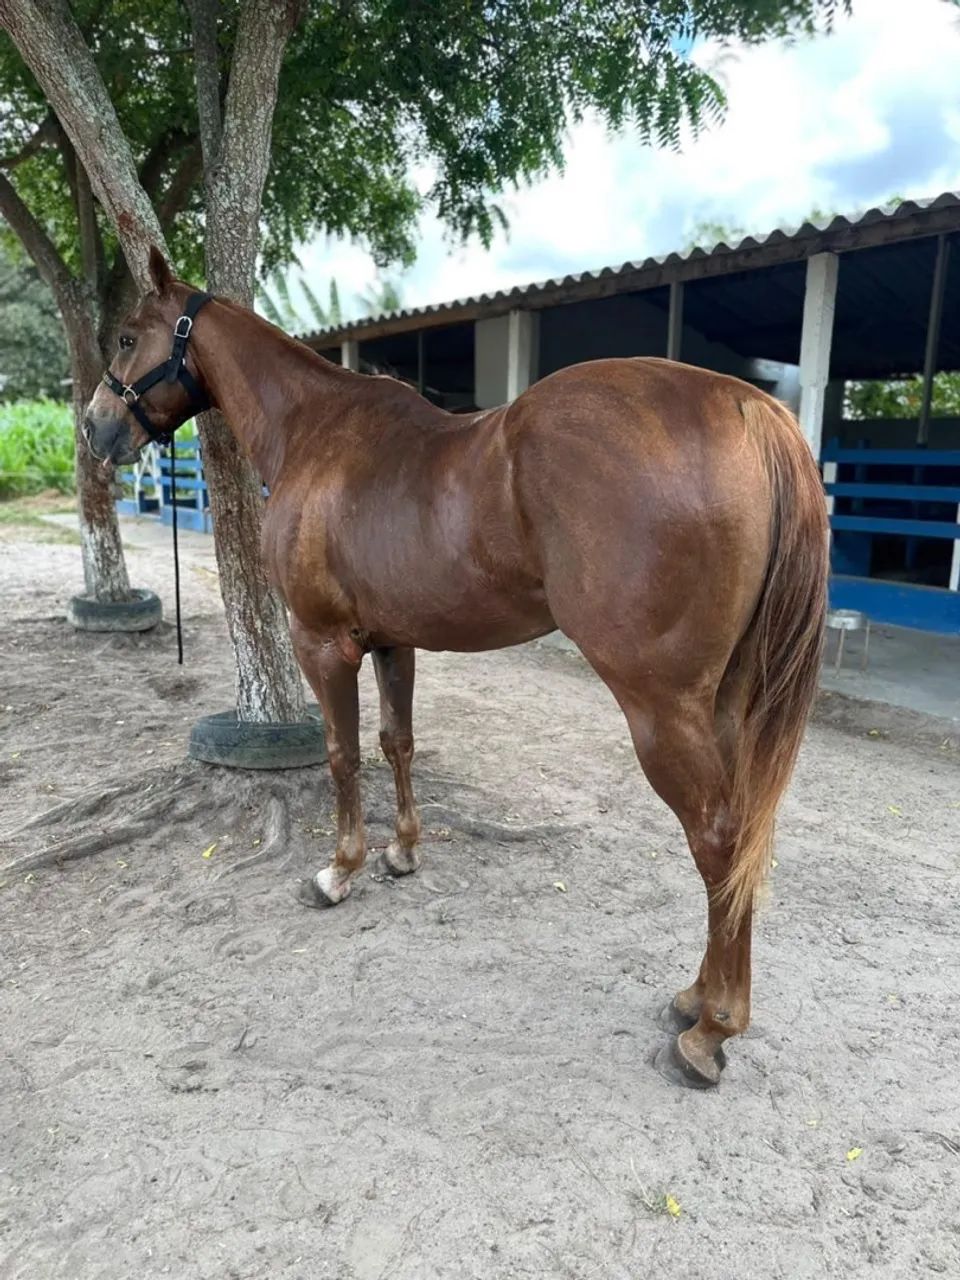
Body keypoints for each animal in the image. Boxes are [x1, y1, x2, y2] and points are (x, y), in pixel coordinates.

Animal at [84, 247, 828, 1087]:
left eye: (126, 337)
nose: (93, 429)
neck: (316, 431)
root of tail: (747, 407)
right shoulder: (391, 642)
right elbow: (396, 744)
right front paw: (404, 853)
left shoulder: (322, 644)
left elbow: (342, 756)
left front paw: (340, 870)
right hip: (725, 702)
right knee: (734, 845)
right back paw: (695, 998)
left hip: (661, 708)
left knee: (716, 837)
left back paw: (711, 1031)